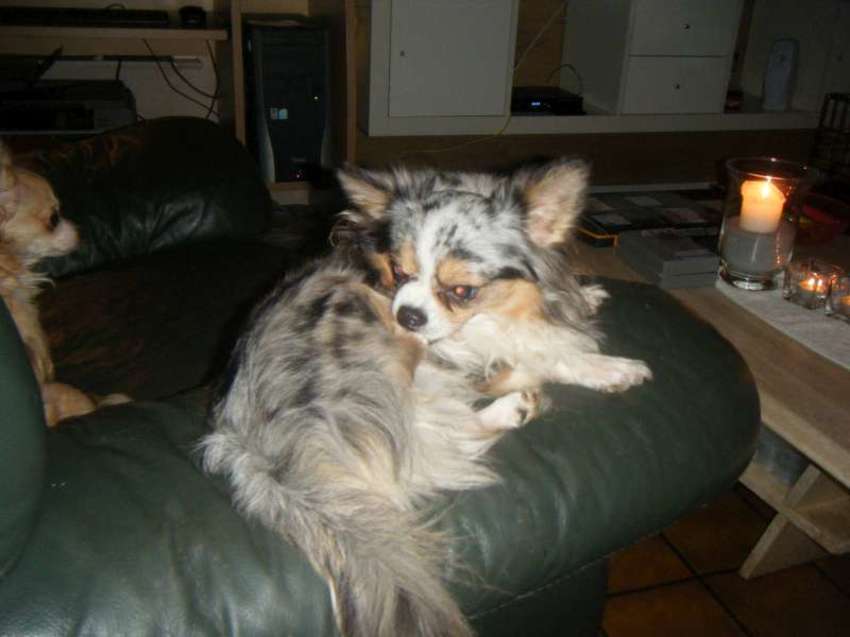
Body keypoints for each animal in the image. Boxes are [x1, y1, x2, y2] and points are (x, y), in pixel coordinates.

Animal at [201, 158, 651, 637]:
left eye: (461, 290)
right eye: (399, 274)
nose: (408, 316)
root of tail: (256, 450)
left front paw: (584, 296)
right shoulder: (461, 345)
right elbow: (548, 351)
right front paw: (608, 367)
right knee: (436, 445)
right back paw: (512, 404)